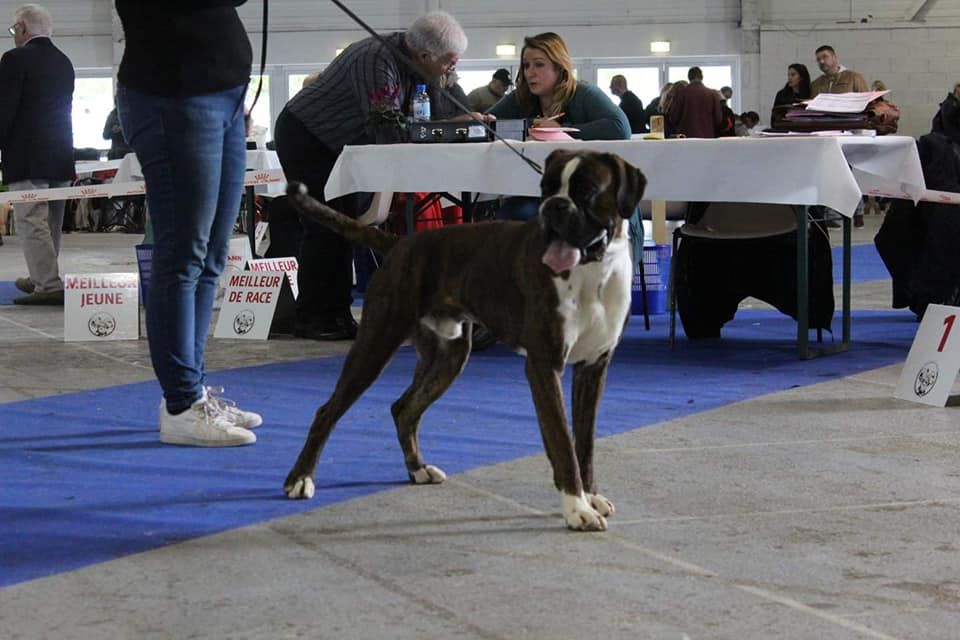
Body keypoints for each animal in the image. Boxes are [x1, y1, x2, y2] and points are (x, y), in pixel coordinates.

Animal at [284, 150, 644, 528]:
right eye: (545, 189)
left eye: (586, 191)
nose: (554, 207)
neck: (593, 273)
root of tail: (400, 242)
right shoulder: (545, 366)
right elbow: (562, 442)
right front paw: (577, 508)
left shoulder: (594, 367)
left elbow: (584, 443)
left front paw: (590, 496)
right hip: (376, 343)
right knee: (327, 411)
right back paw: (300, 479)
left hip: (448, 356)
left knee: (404, 408)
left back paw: (419, 469)